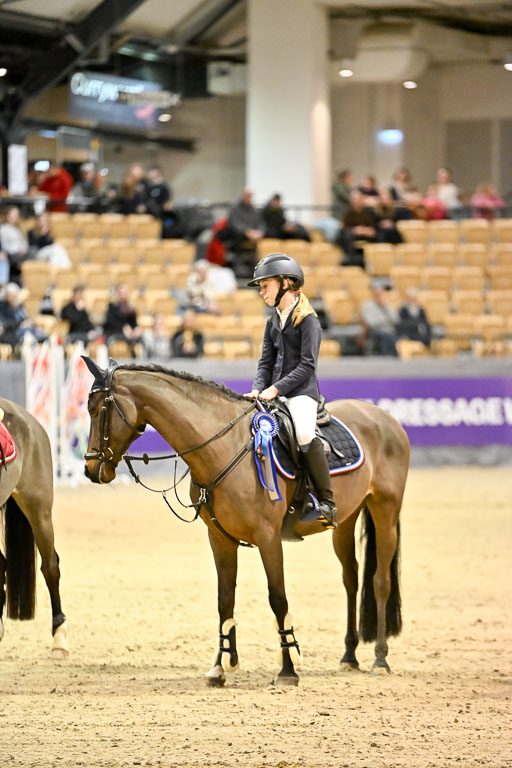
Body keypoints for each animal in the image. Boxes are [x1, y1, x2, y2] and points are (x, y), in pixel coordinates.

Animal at [83, 358, 409, 687]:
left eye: (98, 410)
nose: (90, 469)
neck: (224, 446)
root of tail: (385, 417)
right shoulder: (219, 538)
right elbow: (224, 599)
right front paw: (219, 667)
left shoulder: (268, 537)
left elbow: (278, 598)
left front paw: (288, 670)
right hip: (344, 520)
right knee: (351, 579)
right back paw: (349, 656)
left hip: (385, 510)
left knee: (380, 581)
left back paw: (380, 659)